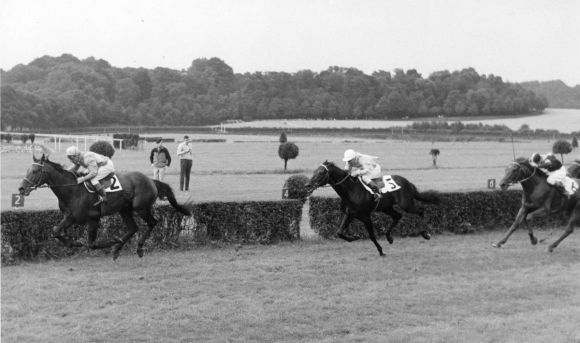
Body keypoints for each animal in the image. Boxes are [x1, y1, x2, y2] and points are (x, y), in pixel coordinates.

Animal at [17, 154, 190, 260]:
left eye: (35, 170)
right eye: (27, 169)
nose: (21, 189)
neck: (72, 190)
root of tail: (151, 180)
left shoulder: (93, 218)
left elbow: (91, 244)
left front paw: (112, 241)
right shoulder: (70, 217)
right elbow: (55, 231)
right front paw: (74, 243)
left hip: (140, 207)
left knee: (152, 223)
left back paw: (137, 248)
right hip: (124, 209)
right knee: (133, 228)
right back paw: (117, 249)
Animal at [306, 163, 438, 256]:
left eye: (321, 172)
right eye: (314, 171)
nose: (308, 185)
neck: (351, 190)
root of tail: (407, 181)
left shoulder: (366, 216)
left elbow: (372, 236)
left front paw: (381, 251)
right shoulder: (350, 214)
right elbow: (339, 232)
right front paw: (354, 237)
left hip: (406, 204)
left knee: (420, 210)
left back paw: (425, 233)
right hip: (386, 207)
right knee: (397, 216)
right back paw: (389, 237)